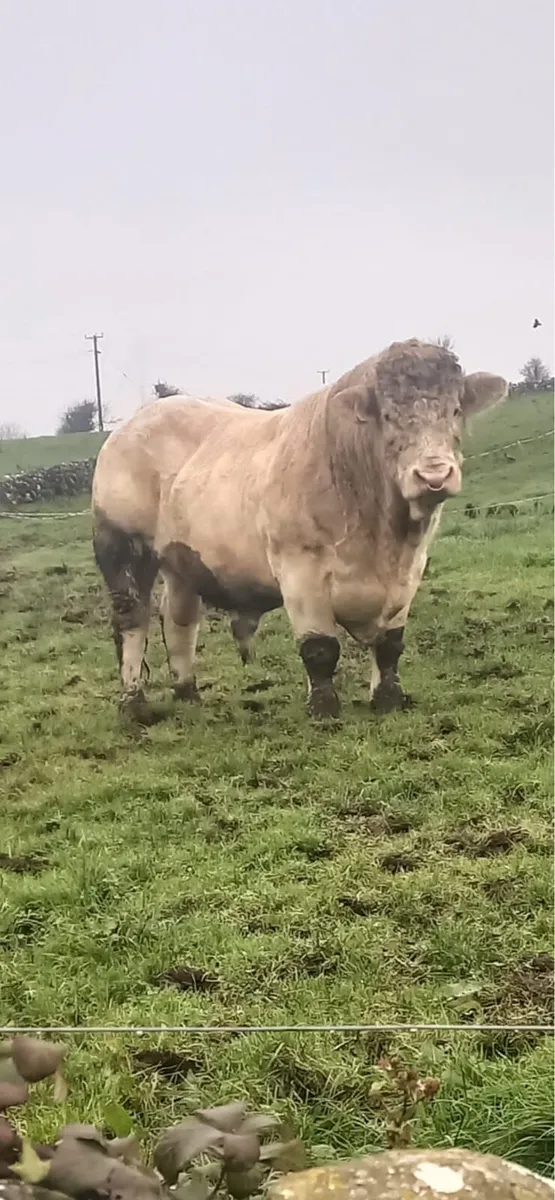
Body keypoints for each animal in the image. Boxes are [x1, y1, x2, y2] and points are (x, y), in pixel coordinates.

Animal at [93, 339, 507, 720]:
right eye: (388, 416)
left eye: (455, 410)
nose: (434, 475)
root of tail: (134, 423)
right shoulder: (299, 569)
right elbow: (320, 649)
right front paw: (324, 710)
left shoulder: (409, 570)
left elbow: (390, 645)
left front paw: (389, 700)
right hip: (123, 547)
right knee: (131, 621)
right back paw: (133, 704)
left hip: (182, 561)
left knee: (179, 618)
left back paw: (187, 693)